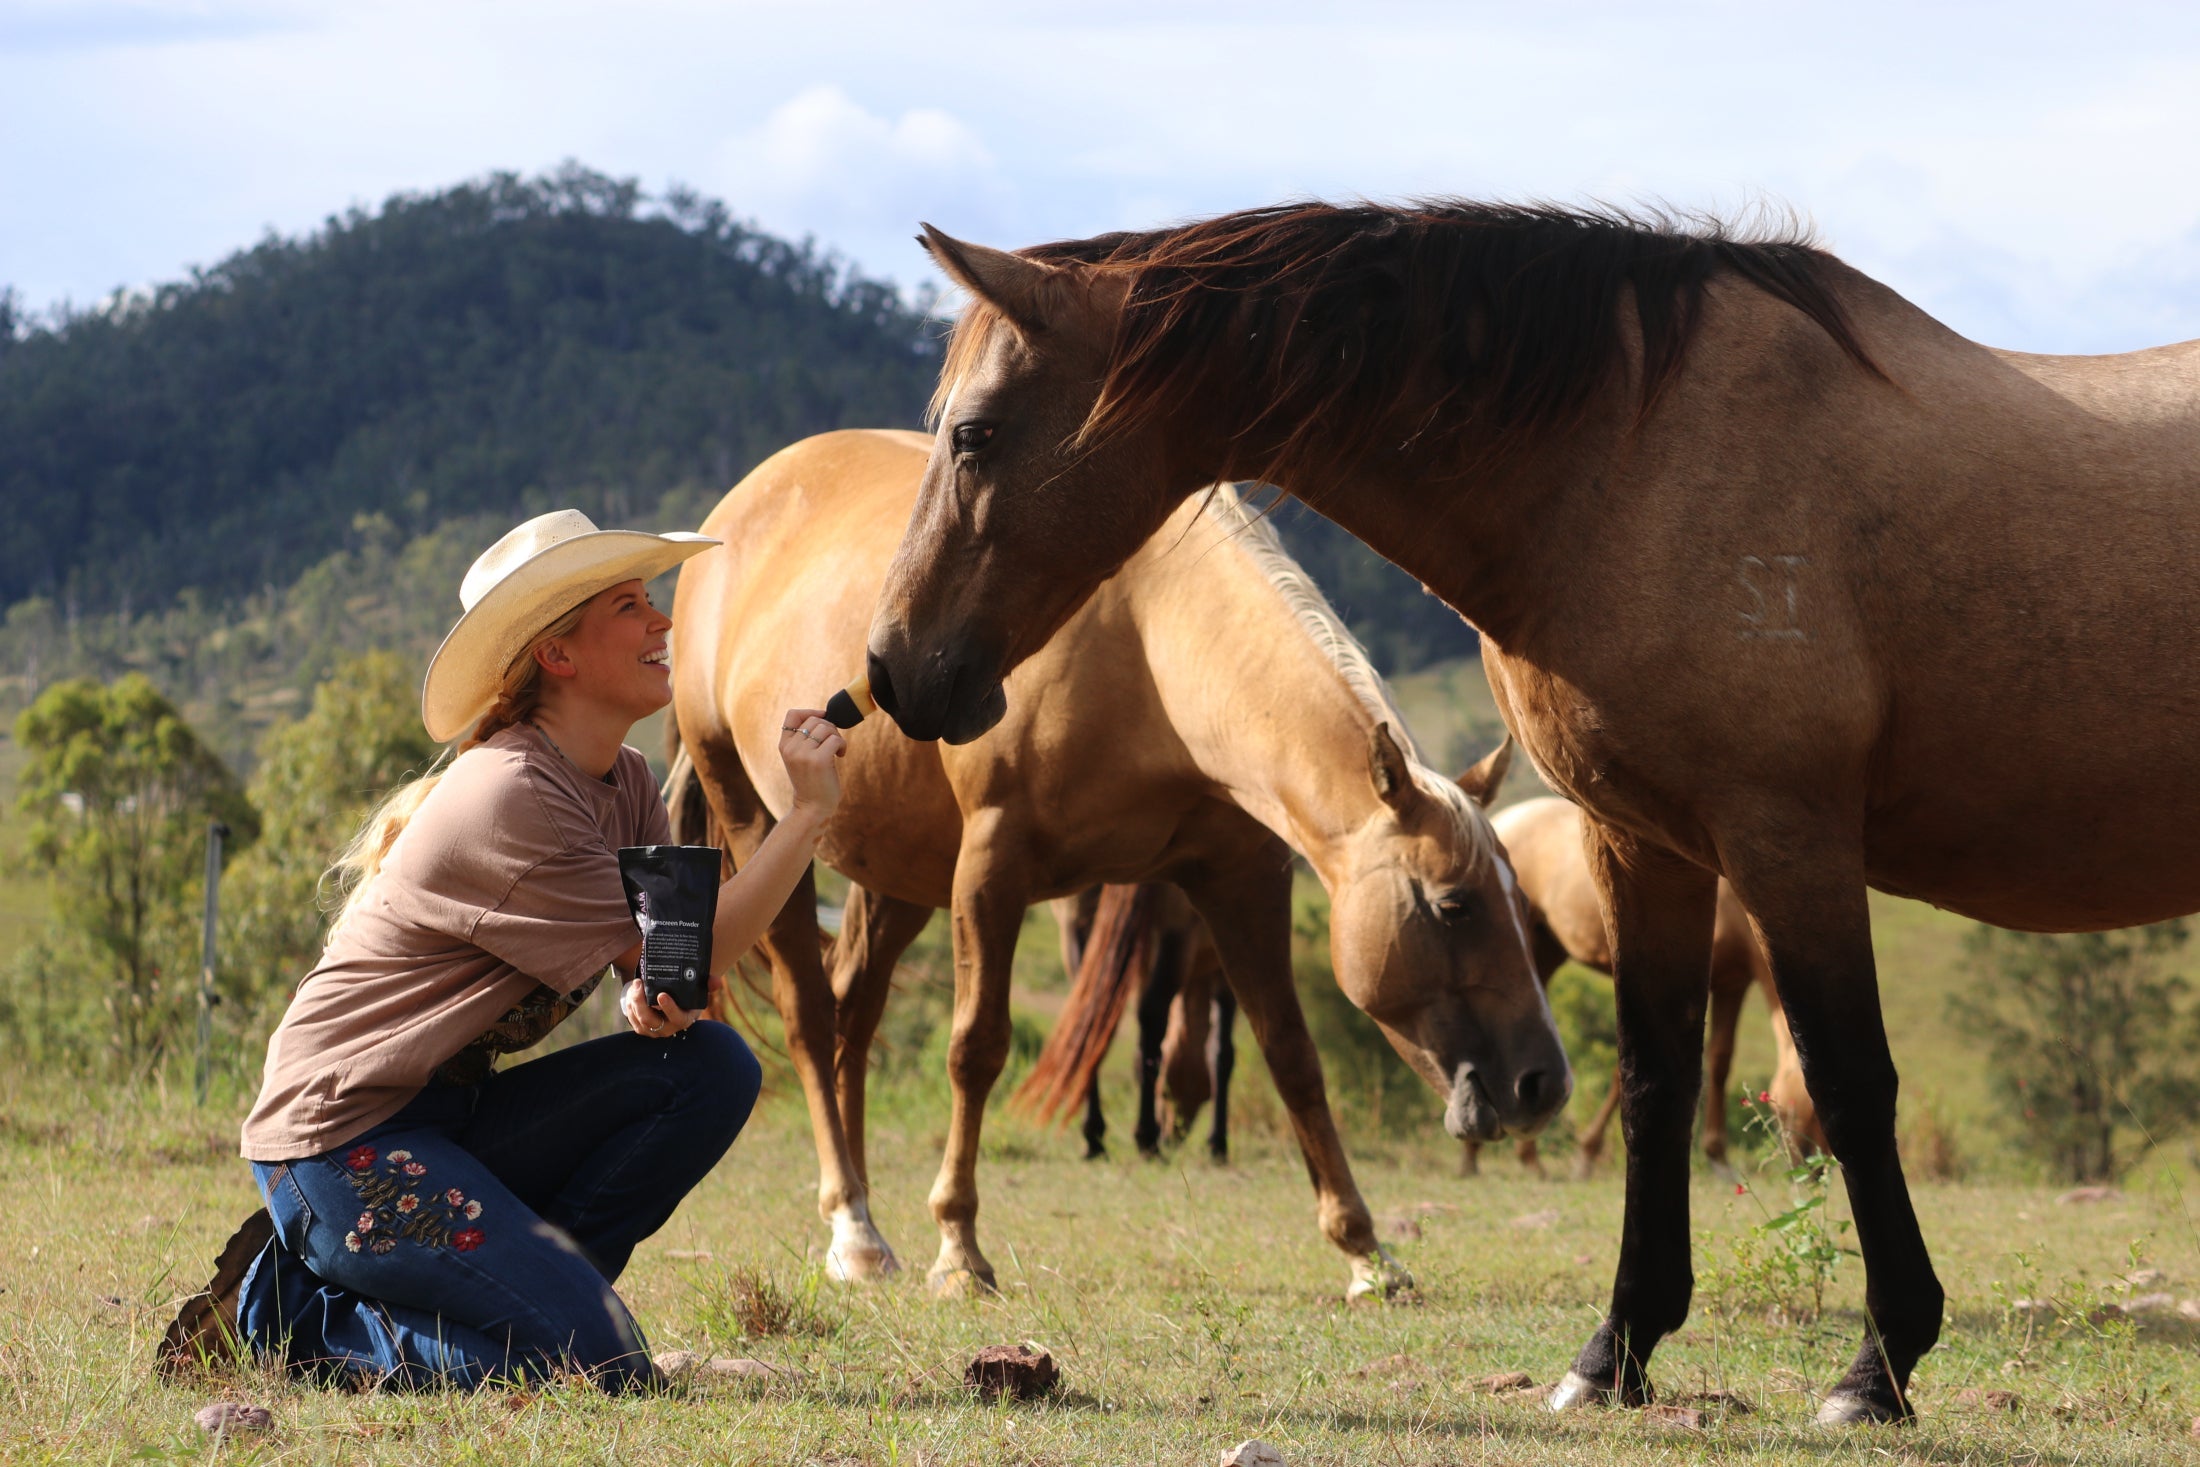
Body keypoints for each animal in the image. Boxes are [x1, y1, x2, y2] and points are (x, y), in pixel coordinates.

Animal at [667, 427, 1568, 1299]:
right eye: (1452, 904)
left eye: (1520, 907)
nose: (1543, 1083)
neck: (1147, 640)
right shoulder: (992, 863)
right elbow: (977, 1047)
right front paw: (959, 1247)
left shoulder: (1241, 877)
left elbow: (1289, 1052)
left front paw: (1364, 1249)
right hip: (761, 825)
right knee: (811, 1015)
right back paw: (852, 1227)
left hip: (899, 870)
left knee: (853, 1009)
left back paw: (861, 1220)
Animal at [1473, 796, 1822, 1178]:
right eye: (1796, 1108)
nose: (1815, 1169)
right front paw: (1587, 1155)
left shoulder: (1733, 983)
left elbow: (1720, 1062)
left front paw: (1718, 1158)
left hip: (1548, 950)